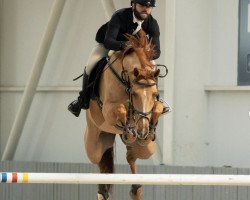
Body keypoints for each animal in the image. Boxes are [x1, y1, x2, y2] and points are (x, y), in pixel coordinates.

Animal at [85, 30, 165, 199]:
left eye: (155, 95)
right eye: (134, 94)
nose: (143, 131)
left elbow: (158, 108)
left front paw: (149, 128)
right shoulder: (107, 109)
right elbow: (120, 110)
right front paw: (129, 128)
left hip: (146, 149)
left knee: (131, 157)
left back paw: (135, 188)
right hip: (93, 140)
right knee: (99, 158)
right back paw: (102, 190)